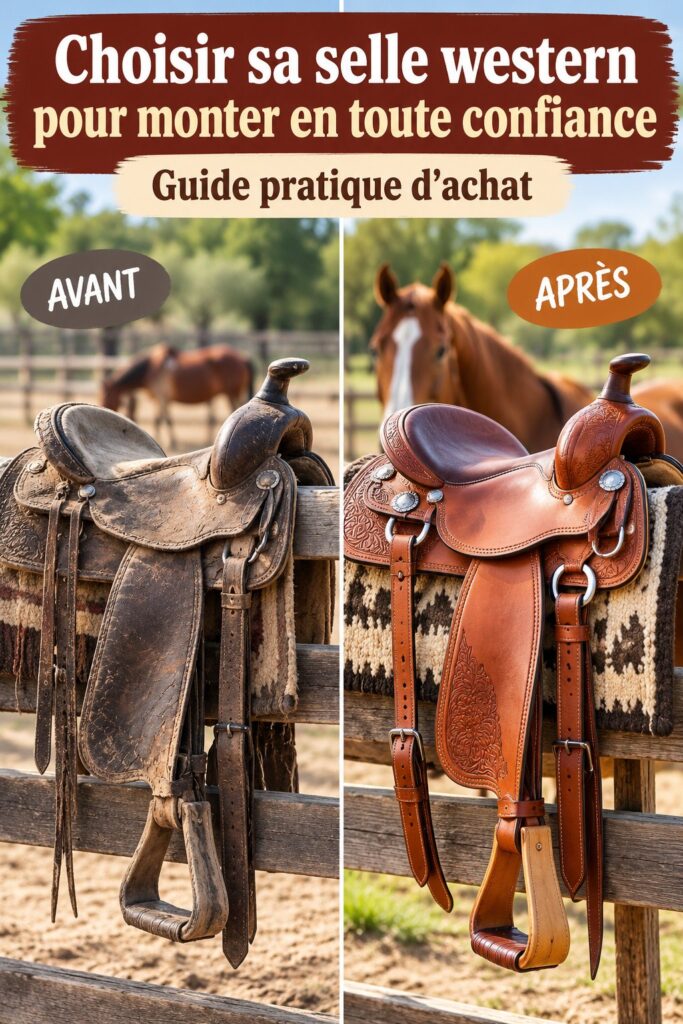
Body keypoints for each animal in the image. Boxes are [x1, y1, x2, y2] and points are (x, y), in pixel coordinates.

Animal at [100, 343, 254, 449]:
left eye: (106, 396)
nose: (103, 408)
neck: (151, 368)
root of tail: (242, 358)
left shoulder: (162, 398)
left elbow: (162, 420)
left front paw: (168, 442)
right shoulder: (160, 400)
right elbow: (163, 420)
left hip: (232, 393)